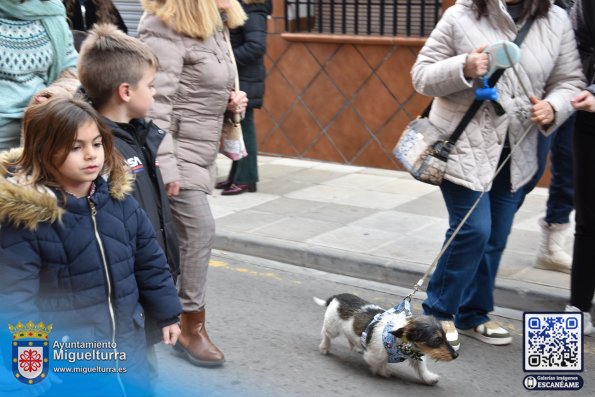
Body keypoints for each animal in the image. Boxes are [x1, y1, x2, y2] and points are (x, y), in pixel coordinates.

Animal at [314, 294, 458, 384]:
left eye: (445, 336)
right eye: (437, 340)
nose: (456, 355)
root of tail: (337, 297)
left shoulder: (416, 355)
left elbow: (421, 368)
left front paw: (430, 378)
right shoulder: (375, 355)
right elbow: (379, 364)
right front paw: (384, 372)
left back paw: (356, 346)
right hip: (332, 328)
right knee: (326, 334)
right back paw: (324, 347)